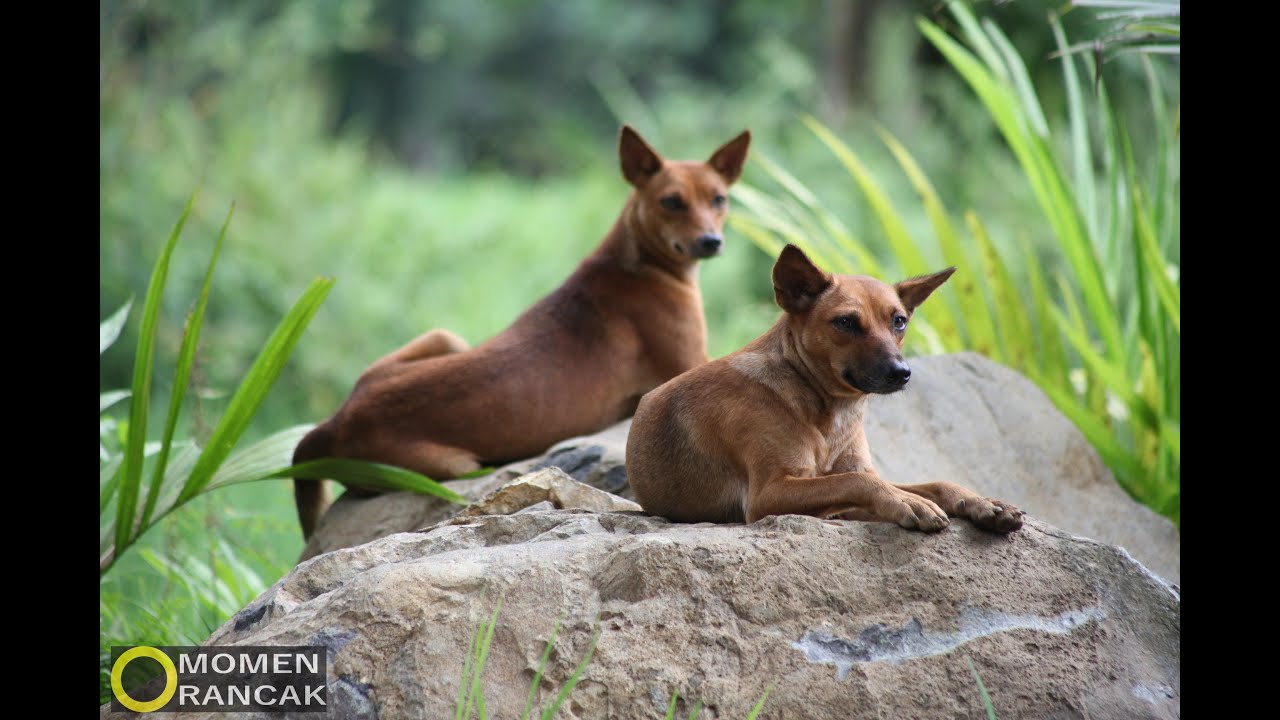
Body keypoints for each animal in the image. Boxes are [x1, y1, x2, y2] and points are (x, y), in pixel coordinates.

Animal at [624, 243, 1024, 530]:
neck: (824, 408)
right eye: (845, 322)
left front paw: (978, 501)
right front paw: (906, 502)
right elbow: (857, 483)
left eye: (899, 321)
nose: (902, 372)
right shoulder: (769, 493)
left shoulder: (855, 473)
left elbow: (933, 483)